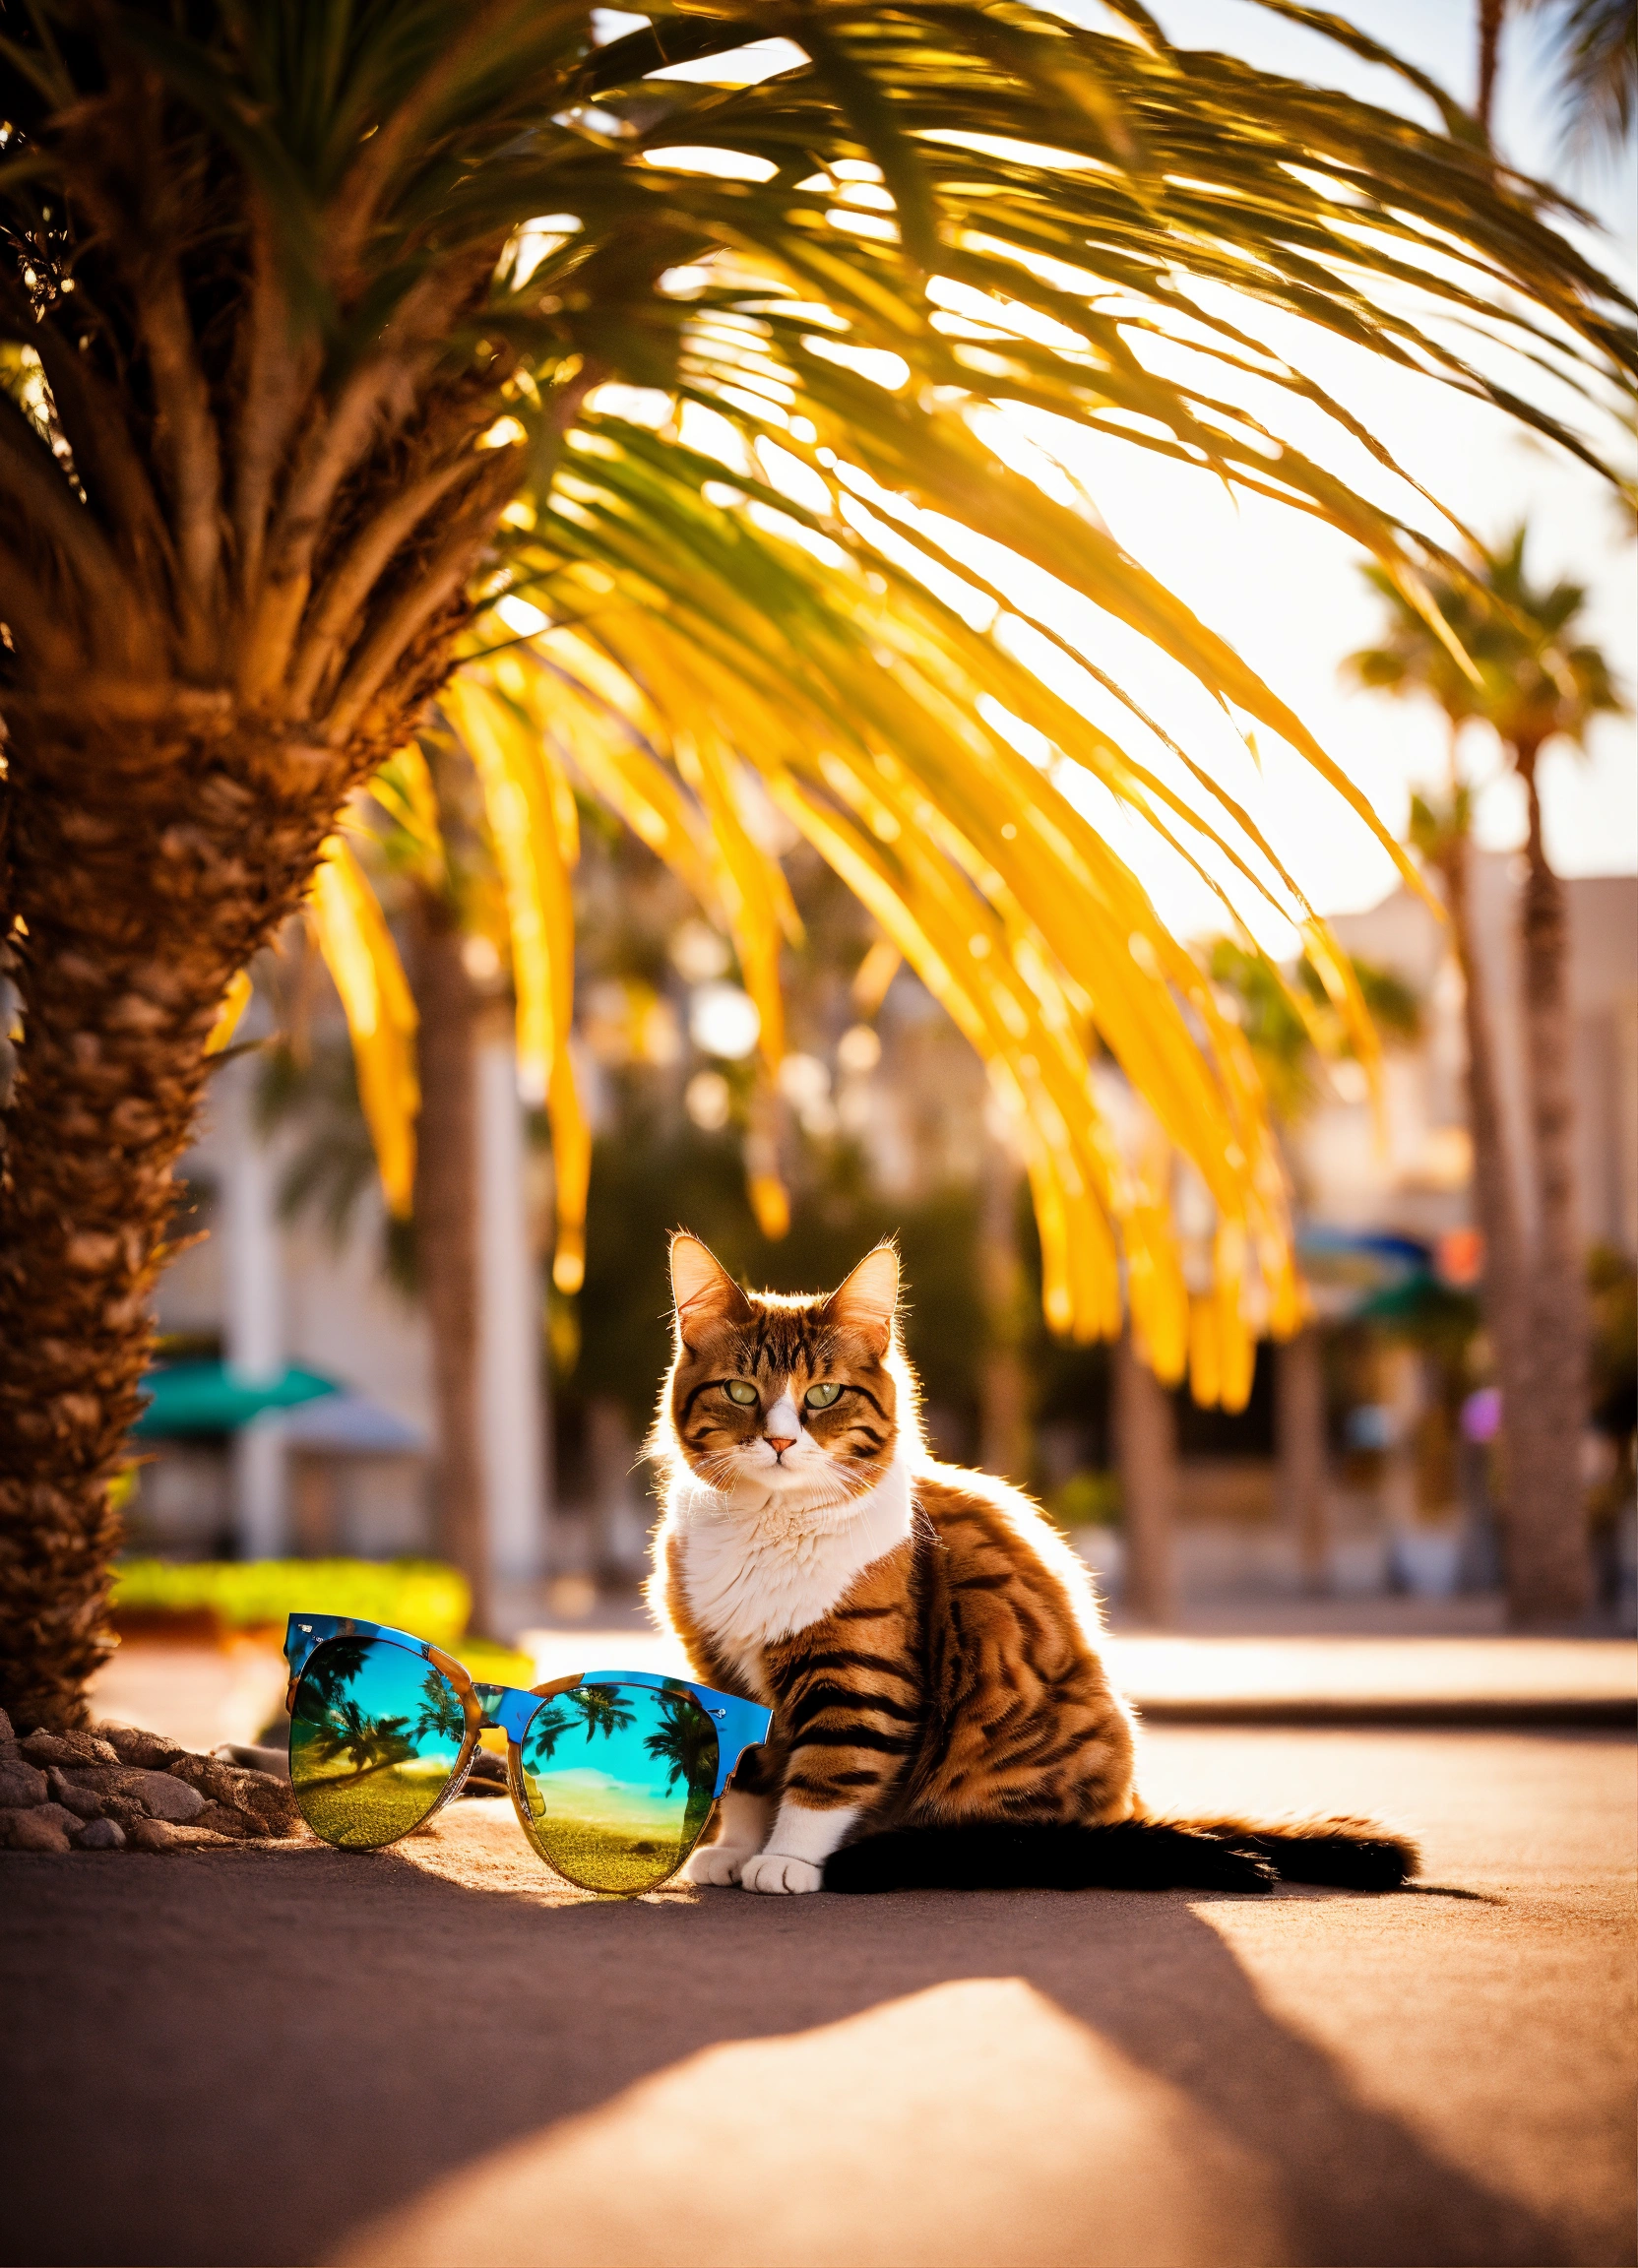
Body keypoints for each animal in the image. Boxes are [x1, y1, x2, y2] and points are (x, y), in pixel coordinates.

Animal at [644, 1242, 1406, 1896]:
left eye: (824, 1395)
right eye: (743, 1392)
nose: (778, 1441)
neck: (767, 1525)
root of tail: (1133, 1810)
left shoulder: (857, 1678)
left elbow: (827, 1773)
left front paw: (788, 1860)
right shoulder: (720, 1666)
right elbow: (746, 1770)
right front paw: (736, 1849)